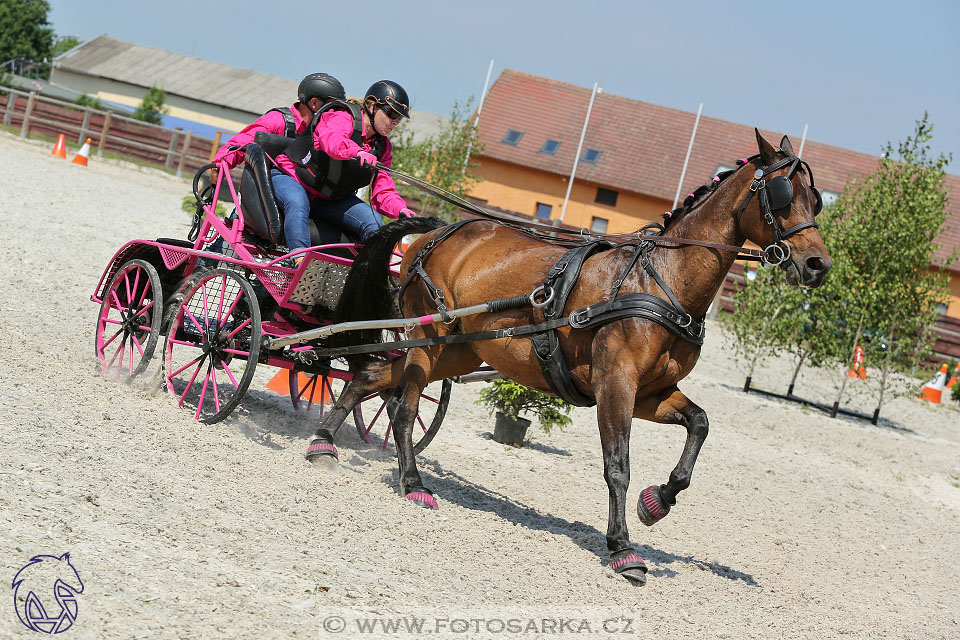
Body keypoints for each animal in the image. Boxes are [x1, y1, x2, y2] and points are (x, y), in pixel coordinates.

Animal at [312, 130, 828, 584]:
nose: (817, 265)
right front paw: (623, 549)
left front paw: (657, 502)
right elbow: (617, 465)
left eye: (816, 199)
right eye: (784, 193)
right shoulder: (615, 385)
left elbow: (699, 425)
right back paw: (413, 483)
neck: (658, 280)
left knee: (375, 376)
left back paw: (323, 443)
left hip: (461, 352)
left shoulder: (652, 392)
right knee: (405, 405)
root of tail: (438, 230)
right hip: (429, 338)